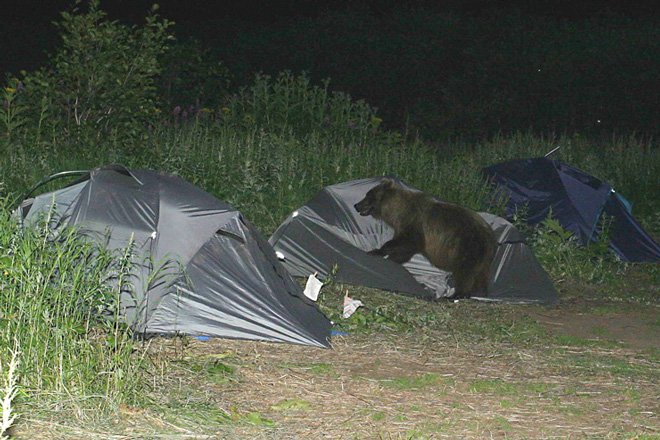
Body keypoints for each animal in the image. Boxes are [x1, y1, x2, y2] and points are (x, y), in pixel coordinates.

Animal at [354, 178, 497, 298]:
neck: (397, 212)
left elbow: (404, 242)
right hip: (483, 257)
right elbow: (406, 249)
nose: (356, 205)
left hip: (467, 246)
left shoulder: (414, 223)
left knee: (465, 272)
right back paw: (480, 292)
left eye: (368, 196)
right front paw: (392, 258)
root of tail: (490, 236)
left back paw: (457, 294)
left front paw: (376, 251)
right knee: (480, 274)